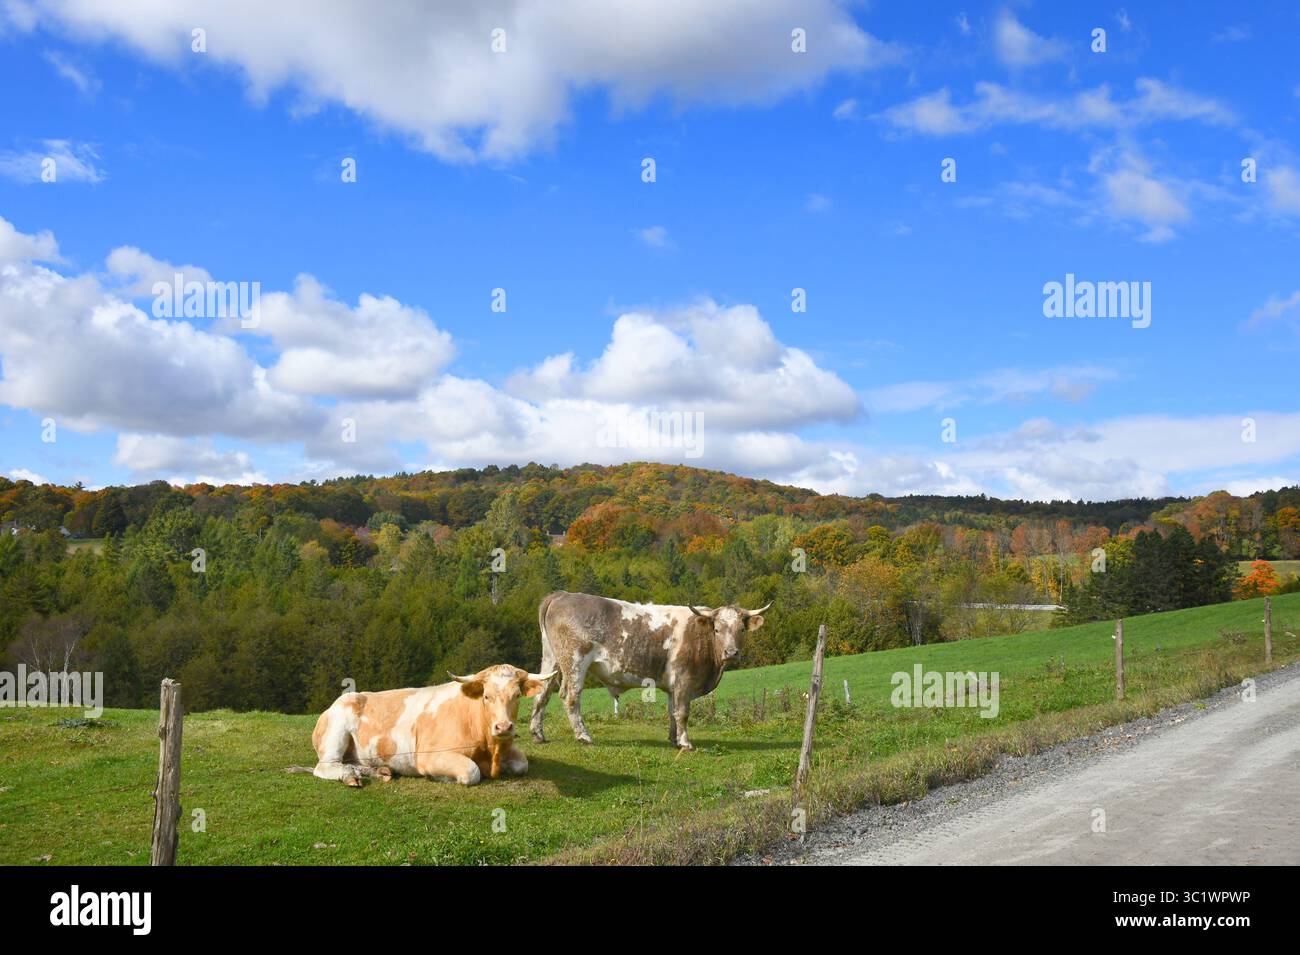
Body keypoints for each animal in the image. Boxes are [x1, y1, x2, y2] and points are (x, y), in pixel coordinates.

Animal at [310, 664, 556, 786]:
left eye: (517, 695)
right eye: (486, 696)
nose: (503, 727)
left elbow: (522, 764)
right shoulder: (429, 755)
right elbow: (471, 771)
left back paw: (378, 771)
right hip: (336, 732)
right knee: (324, 767)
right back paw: (349, 776)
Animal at [528, 591, 770, 751]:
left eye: (741, 629)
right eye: (717, 629)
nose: (731, 652)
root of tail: (562, 595)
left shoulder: (673, 686)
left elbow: (672, 712)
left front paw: (674, 740)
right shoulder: (684, 680)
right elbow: (683, 712)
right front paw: (686, 743)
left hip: (551, 659)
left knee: (542, 693)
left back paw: (538, 734)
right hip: (575, 662)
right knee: (571, 697)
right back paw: (583, 736)